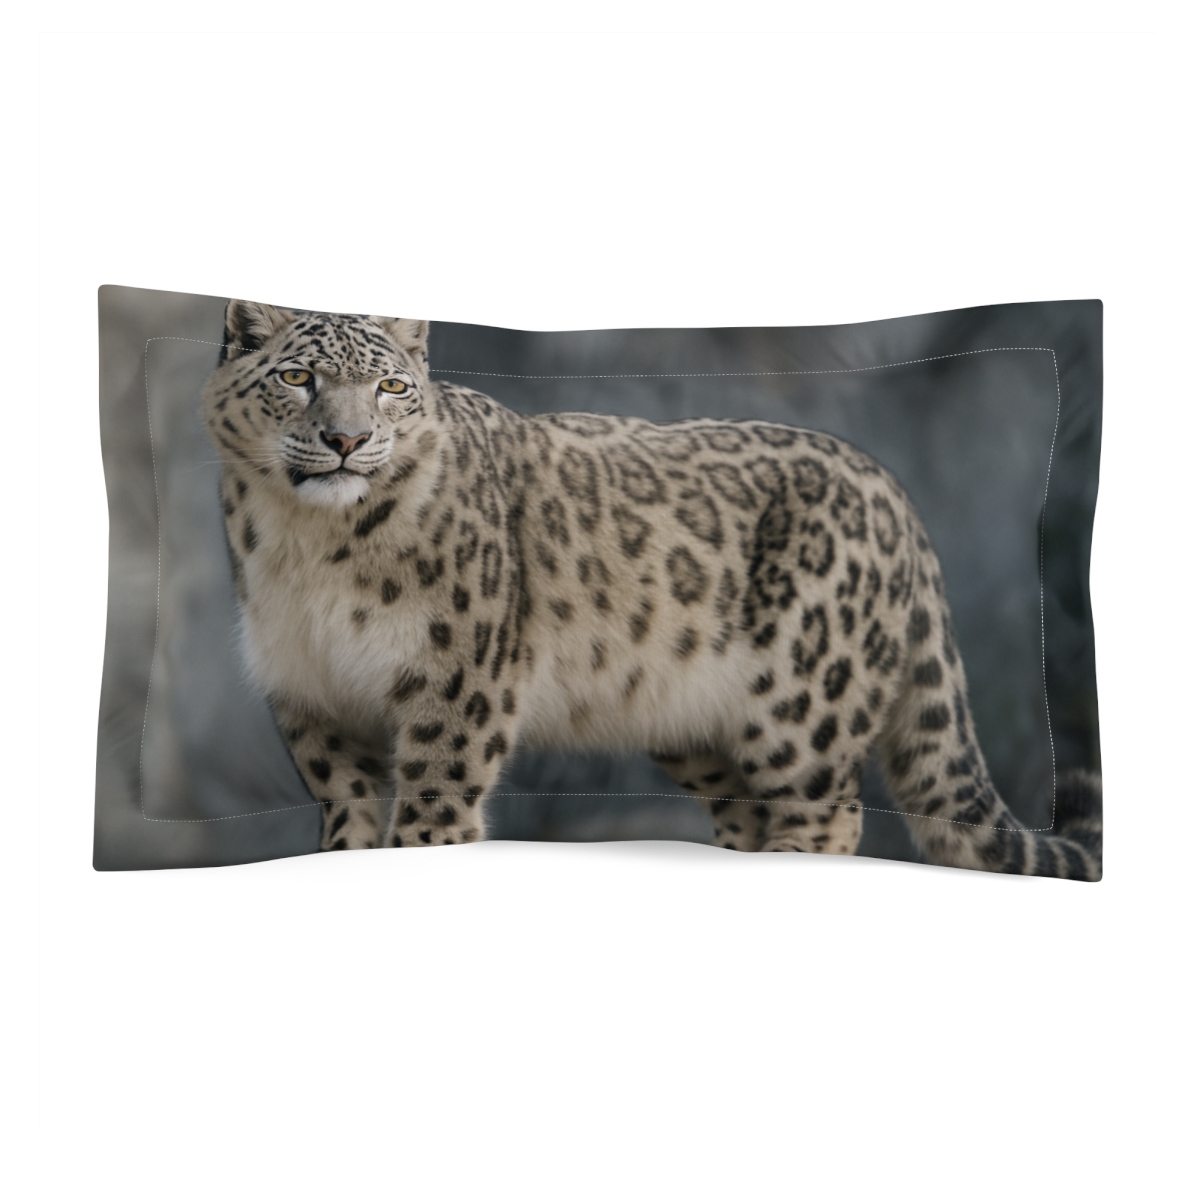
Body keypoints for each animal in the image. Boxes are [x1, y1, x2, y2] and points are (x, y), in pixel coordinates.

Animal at [200, 299, 1101, 879]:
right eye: (297, 376)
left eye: (389, 387)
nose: (347, 440)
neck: (309, 548)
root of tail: (893, 493)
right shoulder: (312, 703)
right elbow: (349, 821)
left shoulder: (454, 695)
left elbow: (432, 818)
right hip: (700, 733)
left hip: (805, 712)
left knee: (827, 814)